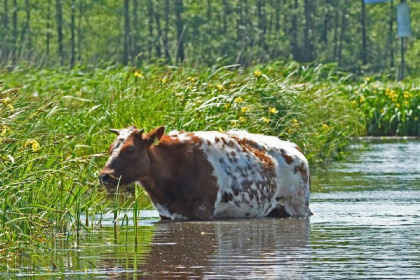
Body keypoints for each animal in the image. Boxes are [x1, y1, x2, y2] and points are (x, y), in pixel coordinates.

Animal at [98, 126, 314, 220]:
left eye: (130, 149)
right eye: (110, 148)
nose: (104, 175)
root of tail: (294, 147)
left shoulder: (203, 210)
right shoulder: (165, 213)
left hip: (297, 206)